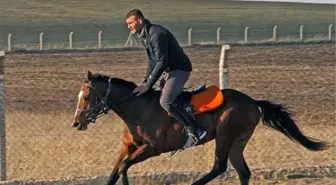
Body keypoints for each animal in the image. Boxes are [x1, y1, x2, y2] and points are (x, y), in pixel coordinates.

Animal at [71, 71, 328, 185]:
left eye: (86, 97)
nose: (76, 122)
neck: (137, 108)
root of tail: (253, 102)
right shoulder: (128, 146)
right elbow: (115, 172)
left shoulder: (152, 149)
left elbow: (124, 168)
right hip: (238, 141)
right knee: (243, 172)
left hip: (225, 136)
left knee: (219, 167)